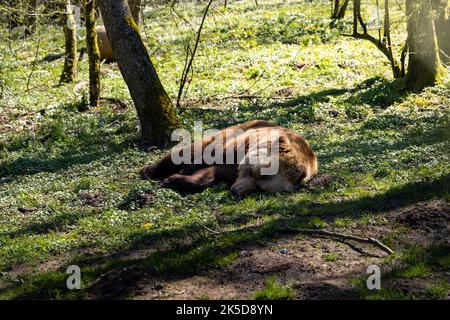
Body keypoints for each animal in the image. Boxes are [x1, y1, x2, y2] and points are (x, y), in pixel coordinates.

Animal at [139, 119, 318, 196]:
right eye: (253, 173)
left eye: (260, 188)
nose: (235, 191)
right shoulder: (235, 147)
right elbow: (201, 159)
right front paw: (174, 176)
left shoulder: (229, 171)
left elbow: (209, 174)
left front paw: (176, 180)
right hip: (234, 131)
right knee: (190, 150)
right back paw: (148, 171)